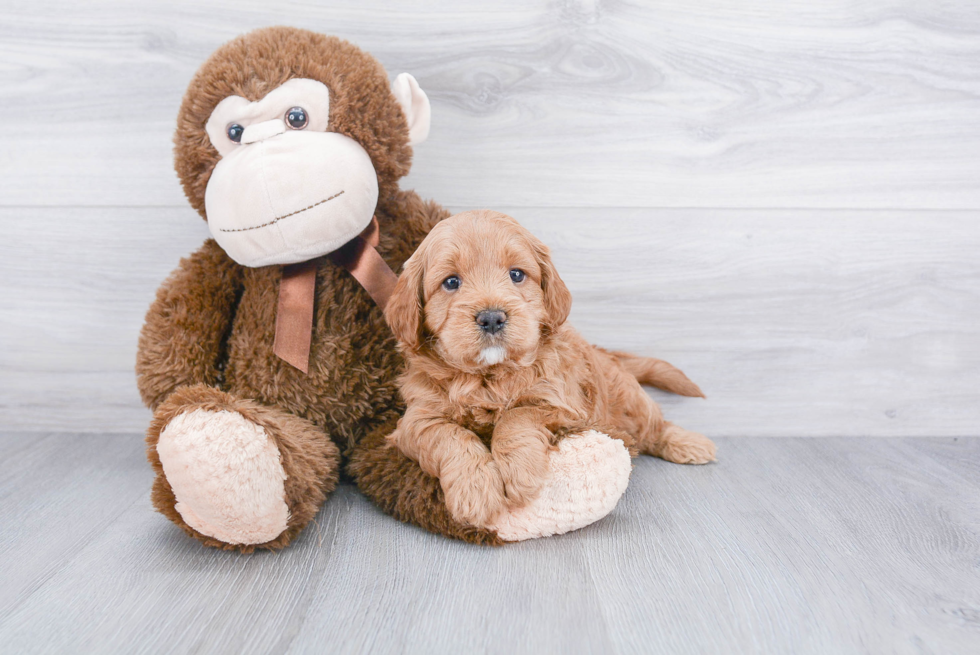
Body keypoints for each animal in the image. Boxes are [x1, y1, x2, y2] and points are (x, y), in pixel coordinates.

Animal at [380, 210, 712, 528]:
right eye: (451, 282)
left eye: (516, 274)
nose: (492, 318)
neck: (489, 376)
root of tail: (604, 351)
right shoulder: (416, 421)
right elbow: (449, 436)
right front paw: (474, 491)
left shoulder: (562, 405)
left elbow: (516, 416)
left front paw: (519, 473)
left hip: (630, 401)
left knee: (655, 425)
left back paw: (690, 444)